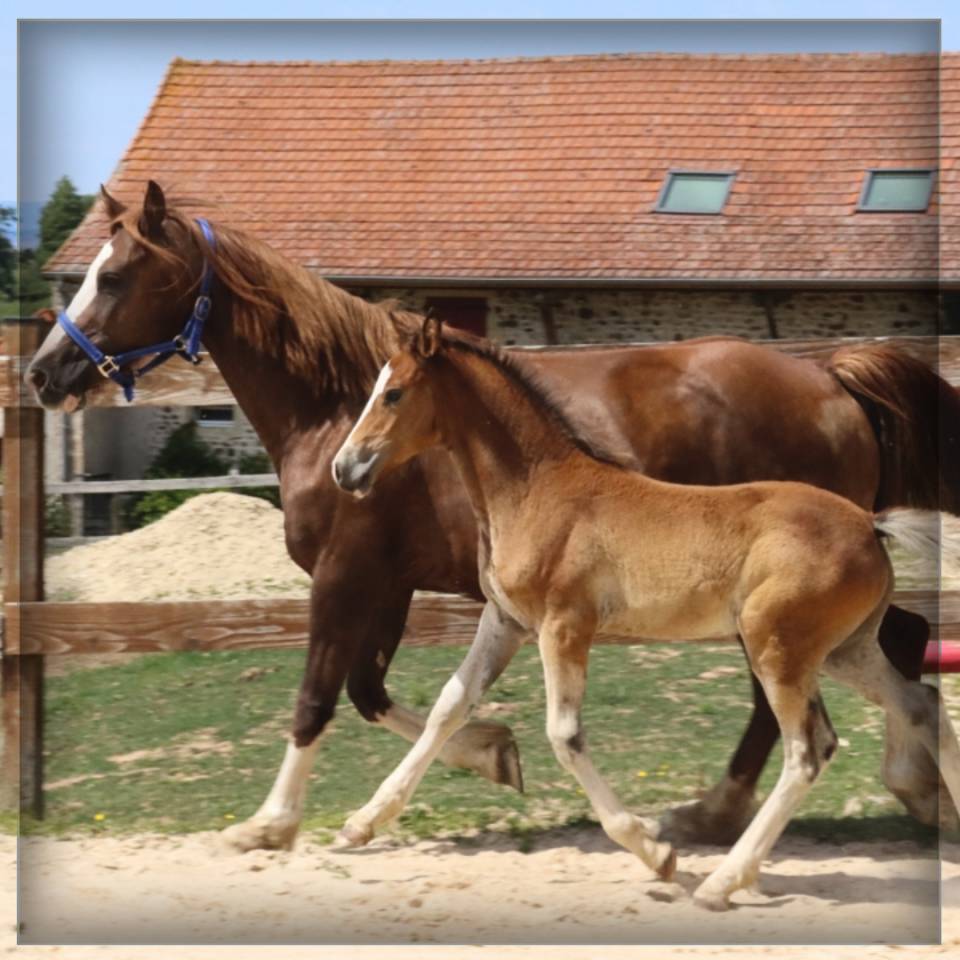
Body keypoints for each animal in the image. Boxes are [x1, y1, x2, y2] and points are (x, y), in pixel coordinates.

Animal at [25, 180, 958, 851]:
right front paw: (492, 754)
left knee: (799, 696)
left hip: (770, 600)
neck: (331, 408)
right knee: (898, 643)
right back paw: (908, 790)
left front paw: (269, 823)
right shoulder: (395, 586)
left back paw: (719, 815)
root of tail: (833, 378)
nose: (42, 372)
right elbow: (385, 693)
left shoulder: (346, 575)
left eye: (115, 275)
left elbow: (319, 694)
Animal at [331, 316, 960, 910]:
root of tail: (870, 525)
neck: (537, 490)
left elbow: (564, 735)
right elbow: (449, 707)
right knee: (921, 703)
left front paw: (656, 853)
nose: (344, 468)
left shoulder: (564, 626)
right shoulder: (505, 622)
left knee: (810, 750)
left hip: (778, 649)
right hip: (844, 649)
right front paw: (359, 824)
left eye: (395, 393)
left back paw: (722, 881)